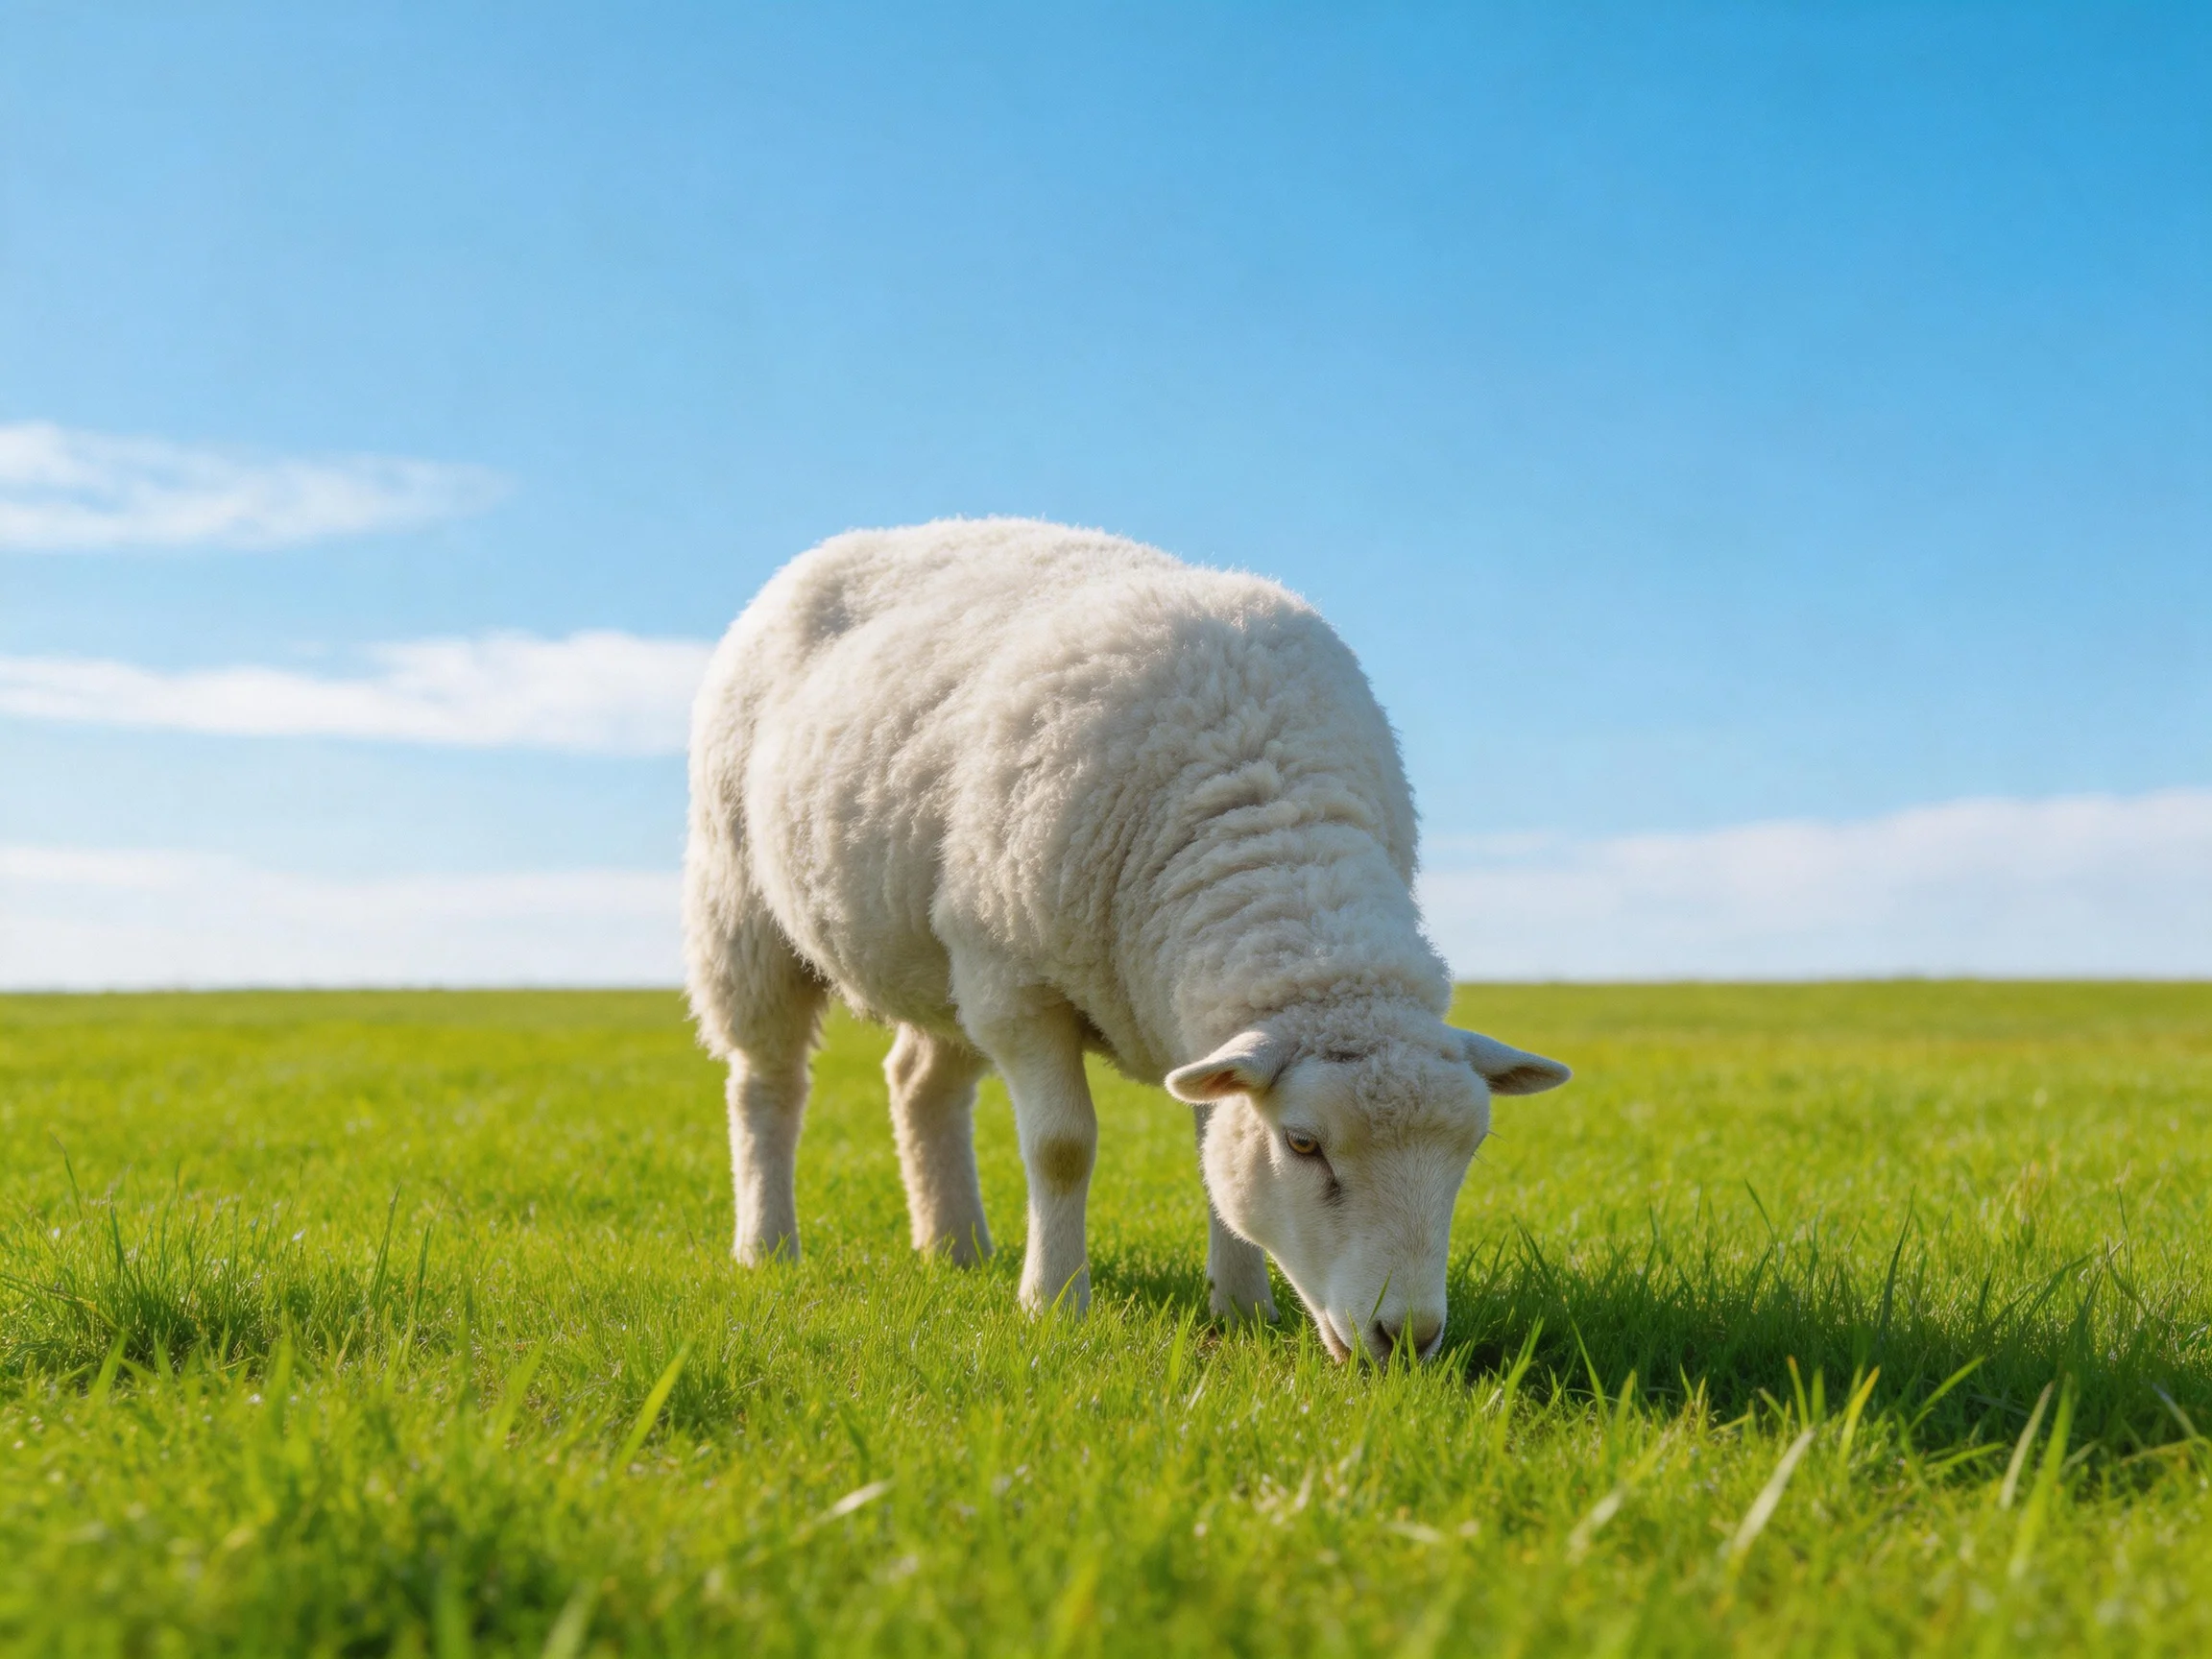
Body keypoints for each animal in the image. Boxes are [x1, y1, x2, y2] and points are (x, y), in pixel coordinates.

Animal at [683, 518, 1568, 1362]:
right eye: (1303, 1143)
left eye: (1472, 1148)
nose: (1408, 1338)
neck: (1264, 804)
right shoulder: (1018, 987)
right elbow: (1062, 1148)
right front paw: (1052, 1304)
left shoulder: (1188, 1033)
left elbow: (1215, 1157)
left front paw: (1241, 1310)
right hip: (747, 909)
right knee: (767, 1084)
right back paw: (768, 1247)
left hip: (941, 963)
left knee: (920, 1084)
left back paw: (956, 1247)